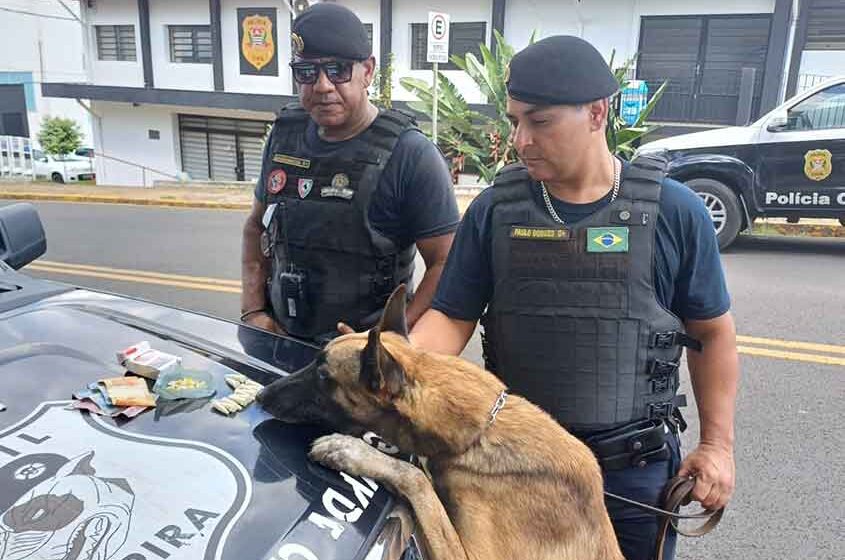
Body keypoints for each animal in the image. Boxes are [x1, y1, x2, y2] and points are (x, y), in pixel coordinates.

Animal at [260, 288, 624, 560]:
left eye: (323, 376)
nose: (262, 395)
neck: (481, 433)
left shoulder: (469, 554)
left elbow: (416, 477)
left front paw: (349, 450)